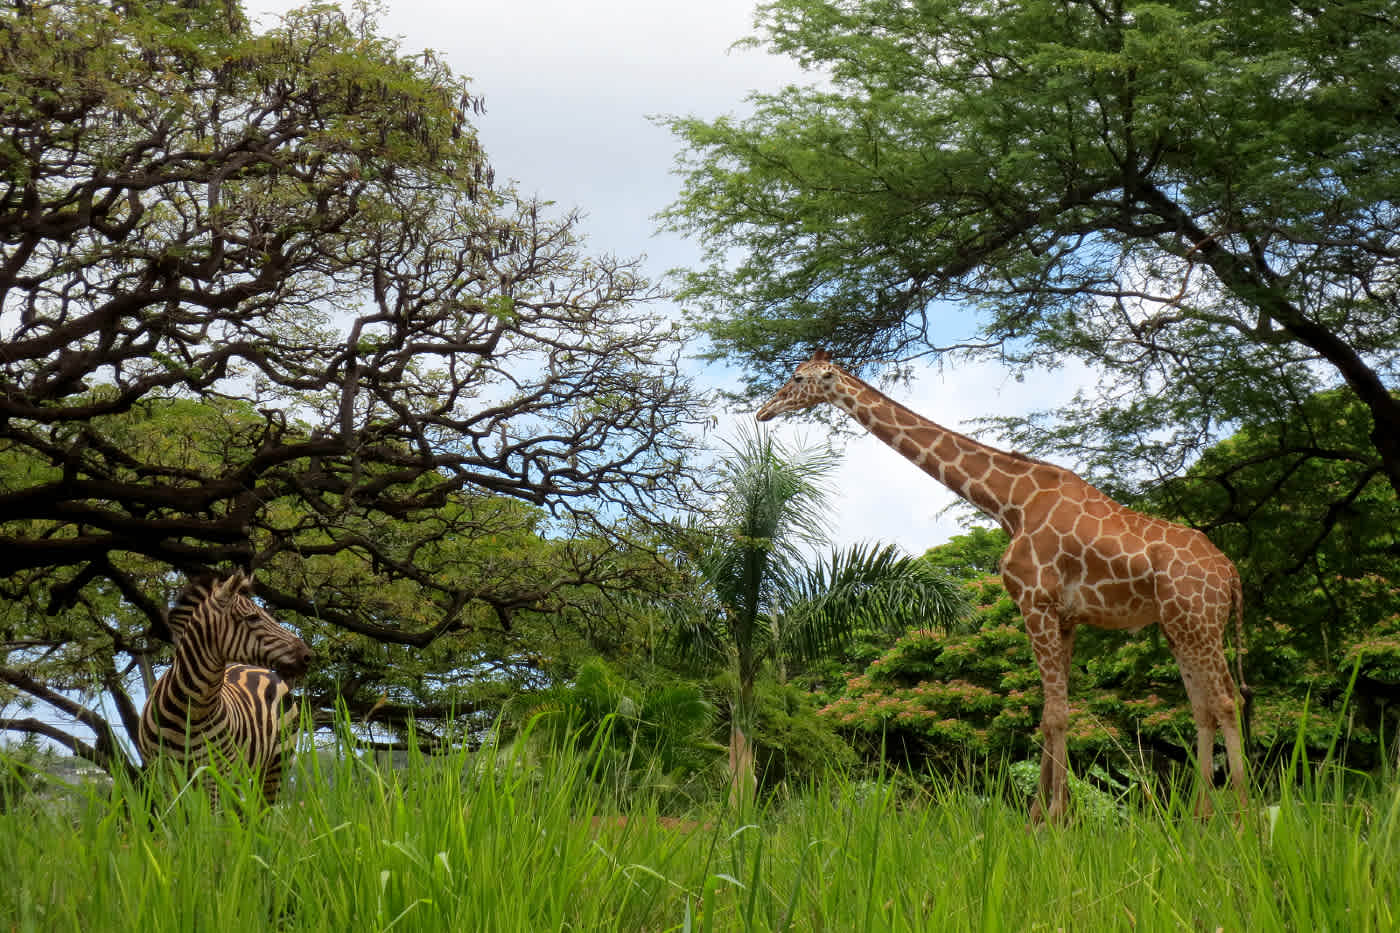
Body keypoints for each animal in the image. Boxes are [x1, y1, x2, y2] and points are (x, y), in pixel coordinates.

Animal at [137, 565, 312, 801]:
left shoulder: (212, 773)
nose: (308, 656)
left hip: (277, 764)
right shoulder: (161, 775)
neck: (191, 709)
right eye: (253, 617)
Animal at [761, 348, 1254, 823]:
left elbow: (1055, 714)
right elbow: (1051, 711)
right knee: (1201, 706)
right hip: (1177, 626)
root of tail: (1230, 570)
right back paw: (1200, 818)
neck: (1011, 503)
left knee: (1227, 700)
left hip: (1198, 619)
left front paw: (1053, 819)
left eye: (798, 378)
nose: (764, 409)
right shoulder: (1064, 616)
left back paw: (1242, 818)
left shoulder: (1034, 602)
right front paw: (1044, 814)